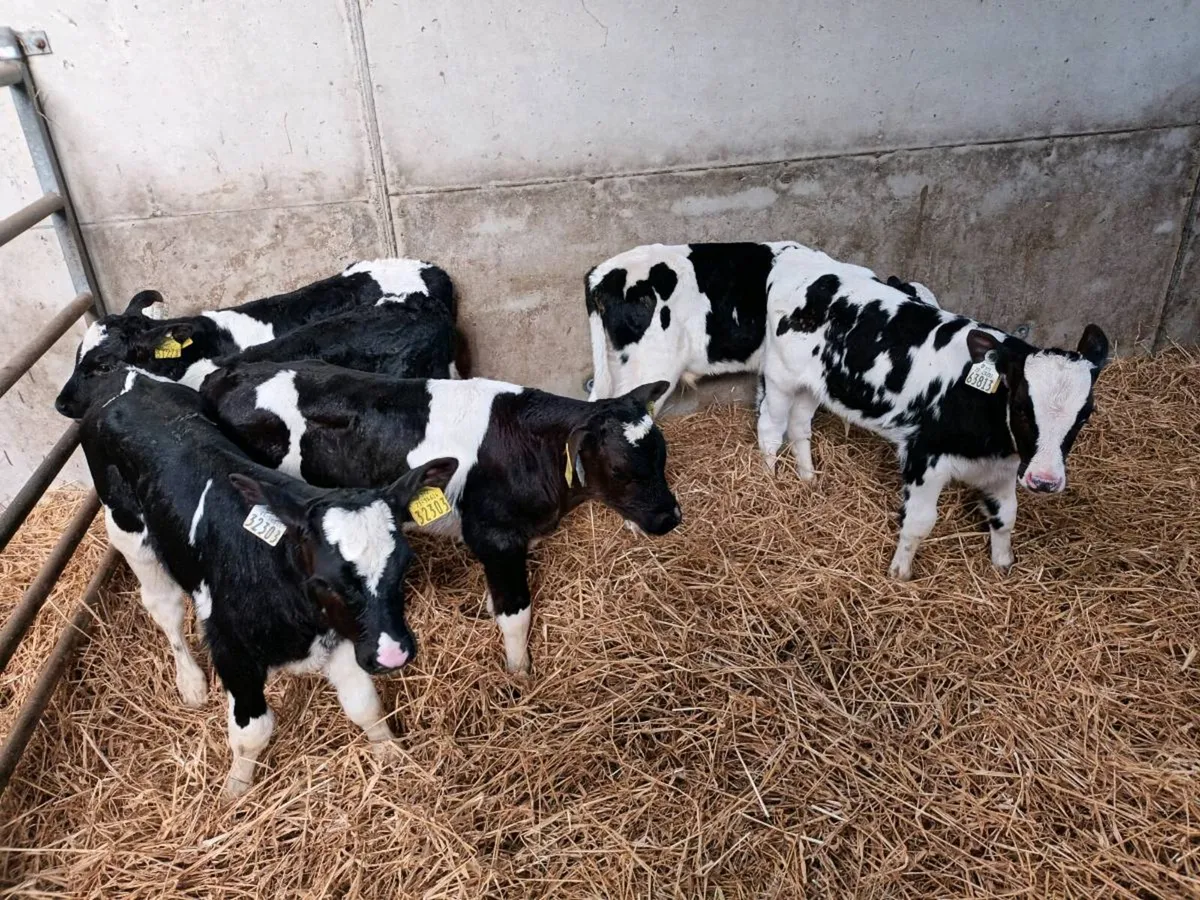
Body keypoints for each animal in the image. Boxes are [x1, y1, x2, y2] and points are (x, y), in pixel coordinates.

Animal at [80, 369, 456, 796]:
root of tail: (128, 376)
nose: (393, 655)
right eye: (325, 579)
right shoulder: (232, 650)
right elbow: (252, 732)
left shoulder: (346, 634)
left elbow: (365, 704)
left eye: (405, 562)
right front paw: (235, 790)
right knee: (165, 608)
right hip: (127, 529)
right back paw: (191, 682)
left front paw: (392, 754)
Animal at [199, 361, 682, 675]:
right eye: (620, 471)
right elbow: (516, 615)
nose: (671, 517)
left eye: (662, 454)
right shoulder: (496, 536)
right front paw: (520, 675)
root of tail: (228, 373)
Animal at [757, 245, 1108, 580]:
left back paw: (808, 478)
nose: (1045, 481)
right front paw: (900, 573)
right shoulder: (924, 458)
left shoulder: (1004, 469)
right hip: (779, 378)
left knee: (799, 427)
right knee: (771, 430)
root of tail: (797, 258)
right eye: (1021, 407)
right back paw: (771, 480)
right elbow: (919, 523)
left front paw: (1002, 564)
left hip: (814, 386)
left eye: (1085, 415)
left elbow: (1005, 516)